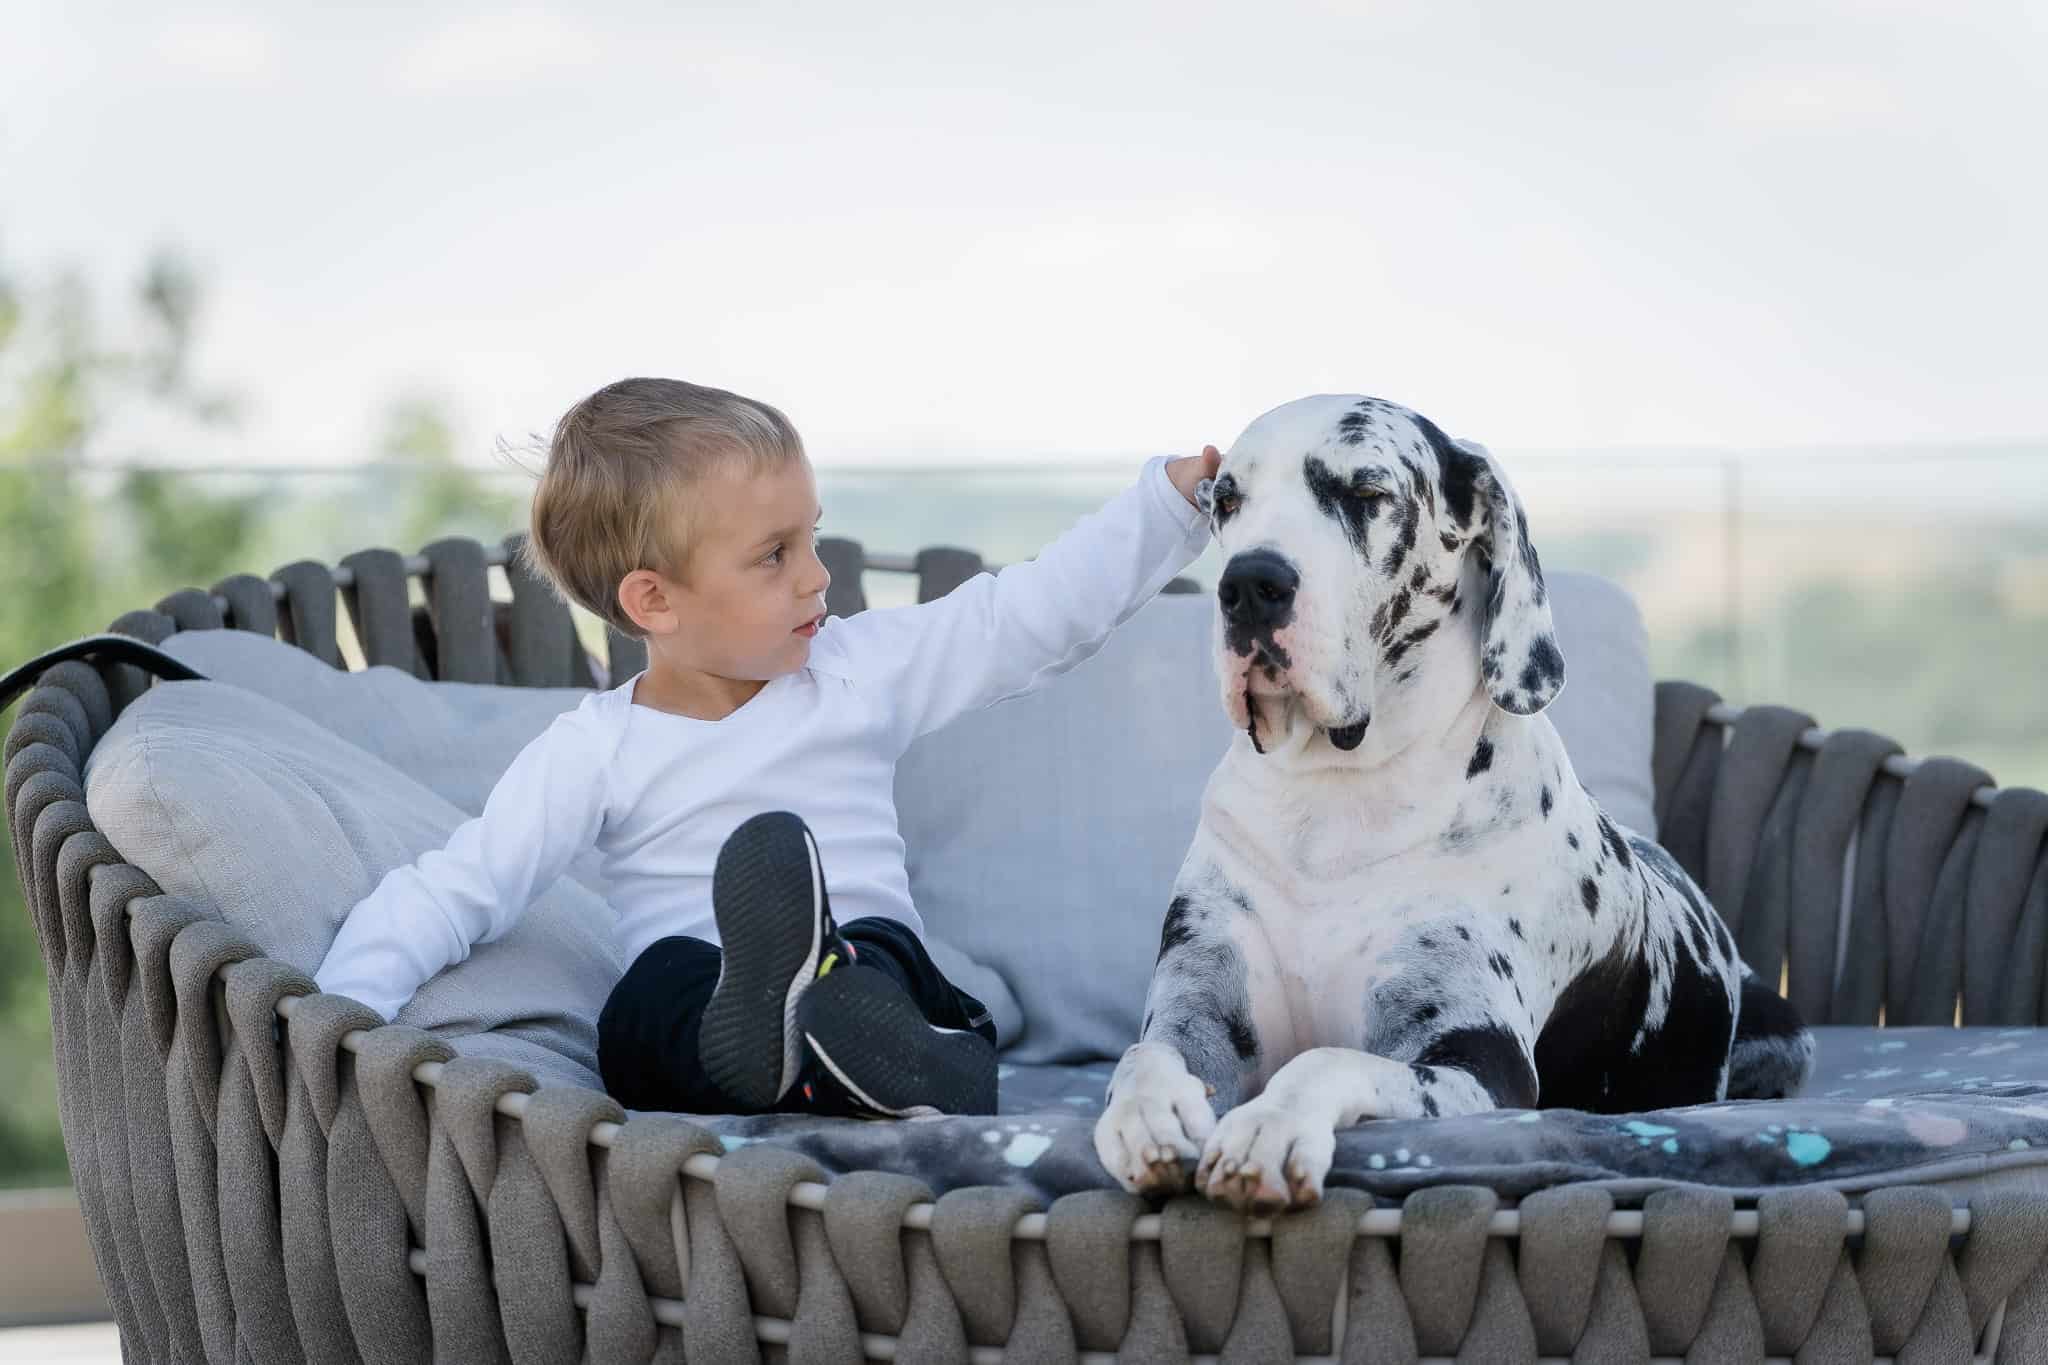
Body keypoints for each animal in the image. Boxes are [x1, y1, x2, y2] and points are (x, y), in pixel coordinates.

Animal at [1097, 394, 1818, 1219]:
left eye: (1366, 491)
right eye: (1226, 501)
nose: (1250, 584)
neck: (1333, 794)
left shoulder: (1479, 1057)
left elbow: (1326, 1059)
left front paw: (1268, 1128)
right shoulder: (1200, 1009)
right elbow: (1144, 1054)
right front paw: (1146, 1116)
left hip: (1786, 1029)